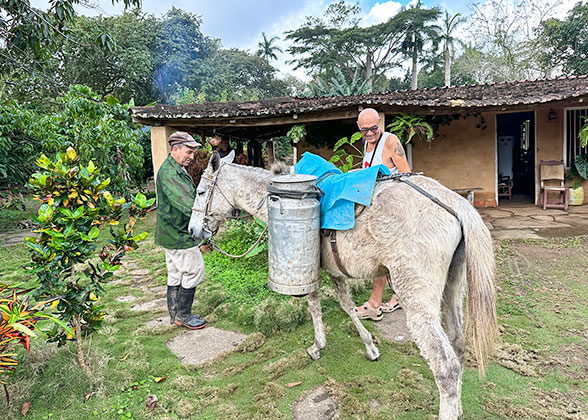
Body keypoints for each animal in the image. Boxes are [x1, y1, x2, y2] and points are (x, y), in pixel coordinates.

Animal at [188, 152, 496, 420]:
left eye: (201, 192)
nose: (193, 231)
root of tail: (453, 202)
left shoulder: (310, 271)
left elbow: (314, 305)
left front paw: (317, 346)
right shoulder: (334, 272)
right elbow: (346, 305)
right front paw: (370, 347)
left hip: (417, 300)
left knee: (445, 367)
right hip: (452, 290)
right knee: (458, 345)